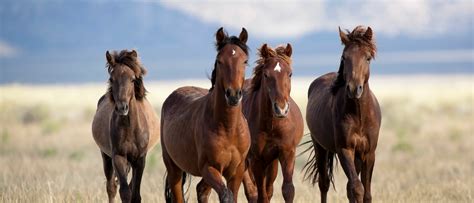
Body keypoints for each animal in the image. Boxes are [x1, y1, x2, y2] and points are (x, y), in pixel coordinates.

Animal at [91, 49, 160, 203]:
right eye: (111, 79)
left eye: (133, 79)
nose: (122, 107)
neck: (130, 128)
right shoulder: (118, 157)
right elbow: (125, 193)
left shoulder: (140, 160)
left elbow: (136, 194)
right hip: (106, 157)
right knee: (111, 187)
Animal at [161, 27, 252, 203]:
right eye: (220, 61)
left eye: (245, 61)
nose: (233, 95)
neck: (228, 128)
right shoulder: (209, 168)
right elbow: (226, 196)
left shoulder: (236, 172)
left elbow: (231, 195)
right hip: (174, 168)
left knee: (201, 190)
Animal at [241, 43, 304, 202]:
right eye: (266, 75)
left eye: (290, 74)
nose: (281, 109)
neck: (272, 125)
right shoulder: (256, 159)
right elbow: (261, 194)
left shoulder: (287, 153)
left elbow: (288, 190)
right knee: (252, 190)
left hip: (271, 161)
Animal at [306, 25, 384, 203]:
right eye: (344, 57)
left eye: (368, 58)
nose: (354, 88)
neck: (359, 116)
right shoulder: (345, 150)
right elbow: (357, 188)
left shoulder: (369, 153)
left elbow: (366, 193)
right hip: (320, 147)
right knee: (324, 183)